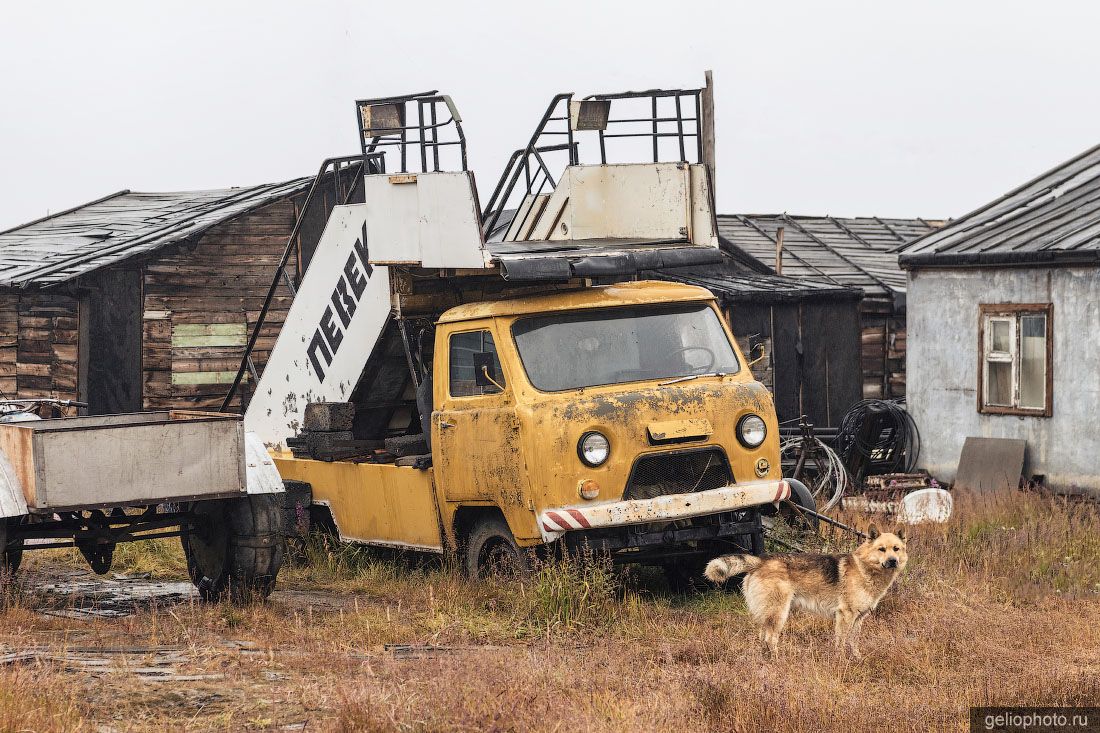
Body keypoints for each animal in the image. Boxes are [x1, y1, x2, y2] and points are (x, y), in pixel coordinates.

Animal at [704, 521, 910, 651]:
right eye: (881, 549)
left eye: (896, 549)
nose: (892, 561)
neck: (865, 568)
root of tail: (760, 561)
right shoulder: (845, 616)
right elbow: (841, 643)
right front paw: (841, 661)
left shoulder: (858, 619)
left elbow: (853, 643)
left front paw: (856, 659)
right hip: (778, 614)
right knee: (771, 640)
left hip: (768, 615)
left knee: (763, 639)